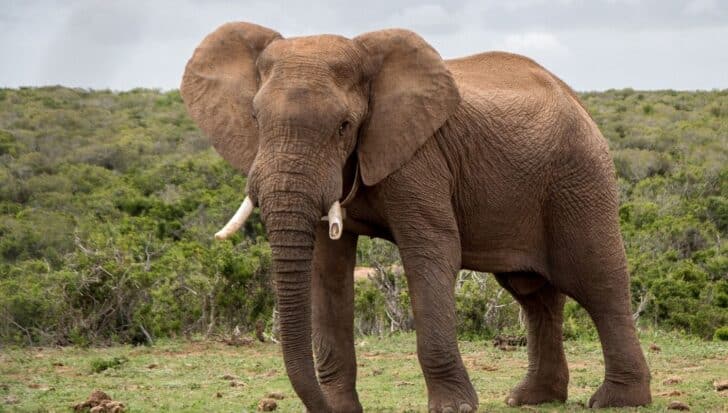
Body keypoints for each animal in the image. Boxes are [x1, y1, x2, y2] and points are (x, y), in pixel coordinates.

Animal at [180, 22, 652, 412]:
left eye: (344, 126)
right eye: (255, 119)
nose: (322, 408)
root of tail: (576, 98)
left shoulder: (420, 157)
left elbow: (431, 251)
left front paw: (454, 408)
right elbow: (326, 268)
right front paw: (341, 408)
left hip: (579, 177)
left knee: (598, 281)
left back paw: (617, 401)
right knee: (533, 293)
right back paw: (531, 399)